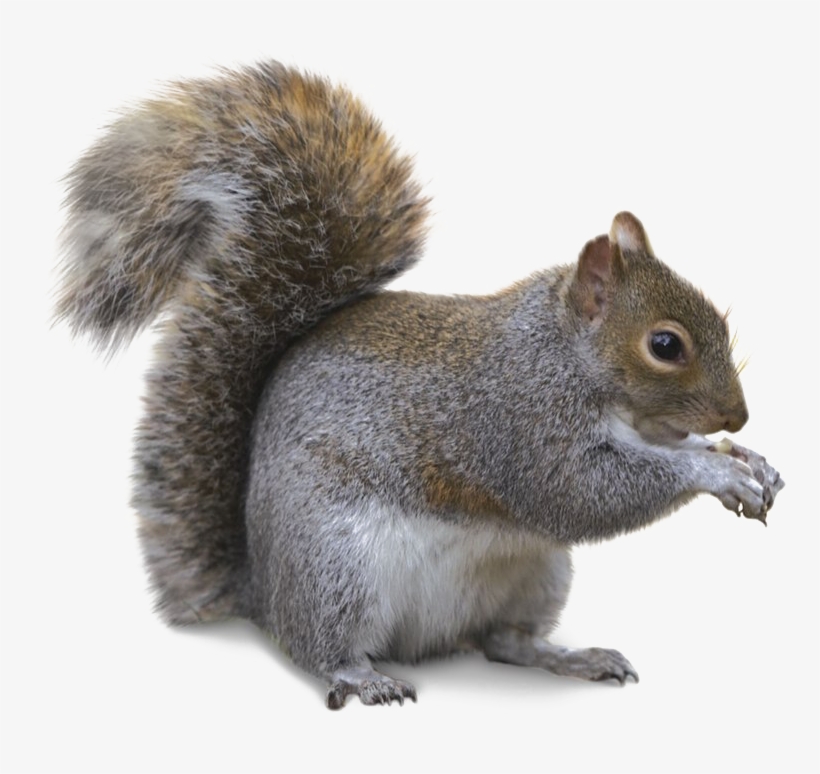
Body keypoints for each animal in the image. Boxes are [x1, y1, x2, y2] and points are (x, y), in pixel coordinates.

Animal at [57, 61, 784, 709]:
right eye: (665, 345)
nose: (739, 418)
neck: (563, 352)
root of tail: (260, 589)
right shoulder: (516, 418)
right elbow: (580, 493)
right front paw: (715, 471)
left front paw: (749, 462)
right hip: (336, 563)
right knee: (320, 645)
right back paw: (361, 676)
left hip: (537, 574)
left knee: (503, 642)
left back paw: (570, 657)